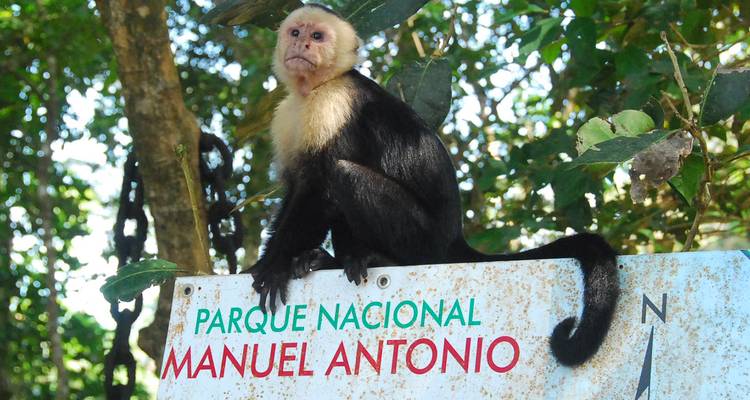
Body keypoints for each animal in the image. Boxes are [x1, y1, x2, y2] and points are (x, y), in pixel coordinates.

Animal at [245, 4, 619, 367]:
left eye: (318, 36)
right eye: (296, 32)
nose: (302, 46)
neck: (316, 88)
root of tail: (454, 239)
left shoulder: (334, 105)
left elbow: (316, 190)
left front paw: (272, 267)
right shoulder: (287, 114)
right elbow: (295, 187)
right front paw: (263, 263)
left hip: (422, 239)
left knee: (342, 175)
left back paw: (377, 260)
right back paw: (331, 261)